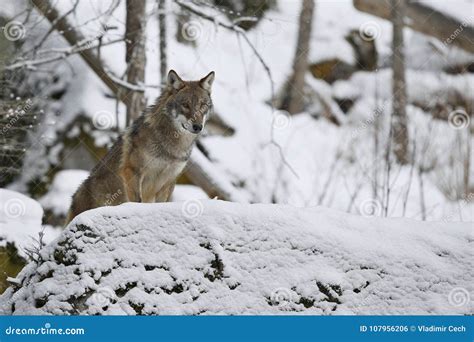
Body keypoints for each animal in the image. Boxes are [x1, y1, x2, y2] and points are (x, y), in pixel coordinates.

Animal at [65, 69, 215, 224]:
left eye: (203, 105)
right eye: (185, 105)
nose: (198, 127)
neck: (172, 146)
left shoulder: (169, 180)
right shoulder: (132, 171)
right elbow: (137, 200)